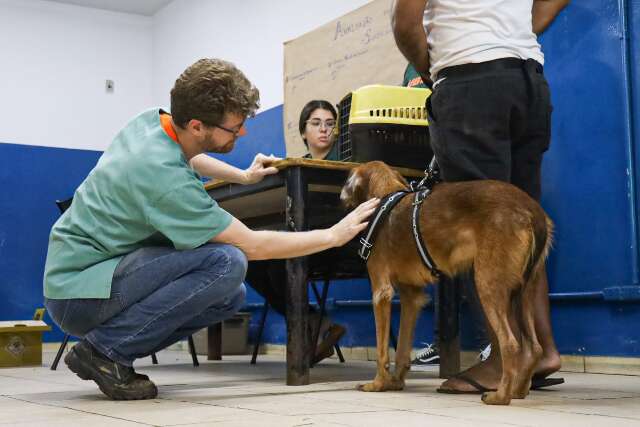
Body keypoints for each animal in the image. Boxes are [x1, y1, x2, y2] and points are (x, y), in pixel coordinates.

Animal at [340, 162, 556, 406]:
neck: (386, 196)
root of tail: (532, 210)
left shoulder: (381, 292)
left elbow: (381, 349)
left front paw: (377, 384)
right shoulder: (411, 297)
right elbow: (403, 347)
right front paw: (395, 382)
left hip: (487, 282)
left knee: (510, 344)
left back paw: (500, 396)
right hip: (526, 290)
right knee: (534, 347)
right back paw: (518, 390)